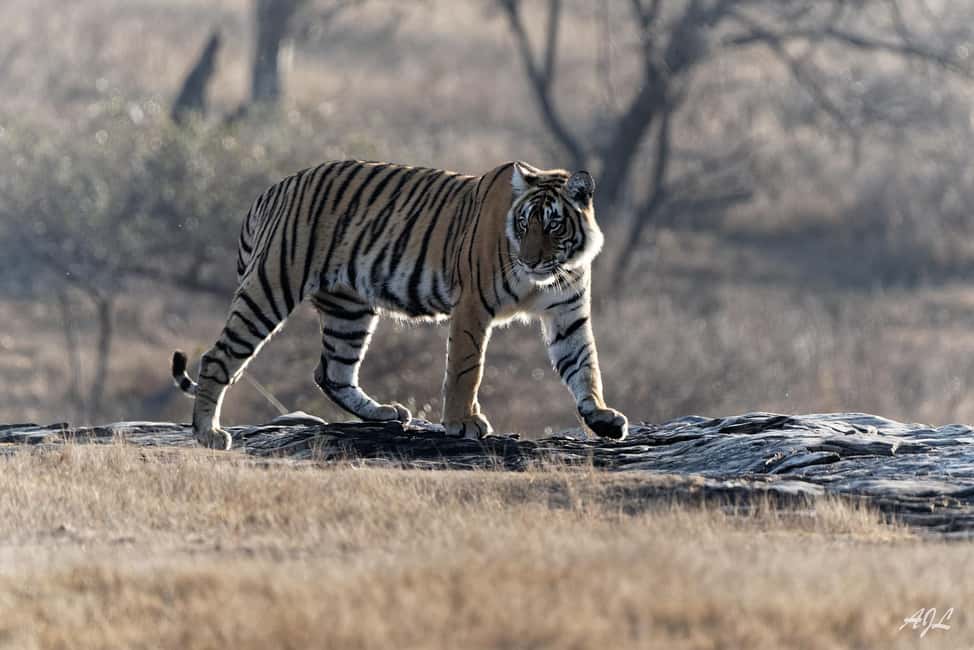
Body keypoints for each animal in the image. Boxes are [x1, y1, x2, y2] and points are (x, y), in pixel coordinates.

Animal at [171, 159, 628, 449]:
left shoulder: (567, 314)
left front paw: (602, 417)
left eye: (553, 225)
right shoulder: (473, 306)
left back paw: (382, 413)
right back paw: (208, 434)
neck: (552, 273)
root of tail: (271, 190)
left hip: (349, 309)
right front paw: (462, 423)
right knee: (218, 356)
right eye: (523, 223)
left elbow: (584, 366)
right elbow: (466, 370)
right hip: (272, 285)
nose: (531, 260)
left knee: (332, 371)